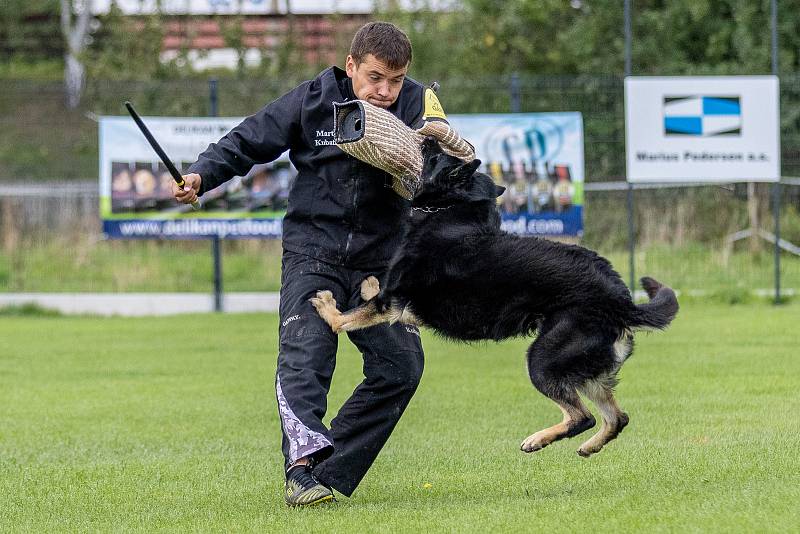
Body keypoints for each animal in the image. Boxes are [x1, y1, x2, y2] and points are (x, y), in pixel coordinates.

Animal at [310, 136, 680, 458]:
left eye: (435, 157)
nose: (427, 138)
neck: (449, 211)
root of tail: (622, 301)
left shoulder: (393, 300)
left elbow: (349, 317)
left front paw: (328, 307)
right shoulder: (402, 306)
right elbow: (371, 297)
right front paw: (367, 283)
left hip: (543, 359)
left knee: (582, 417)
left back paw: (537, 440)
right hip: (584, 368)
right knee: (617, 417)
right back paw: (589, 446)